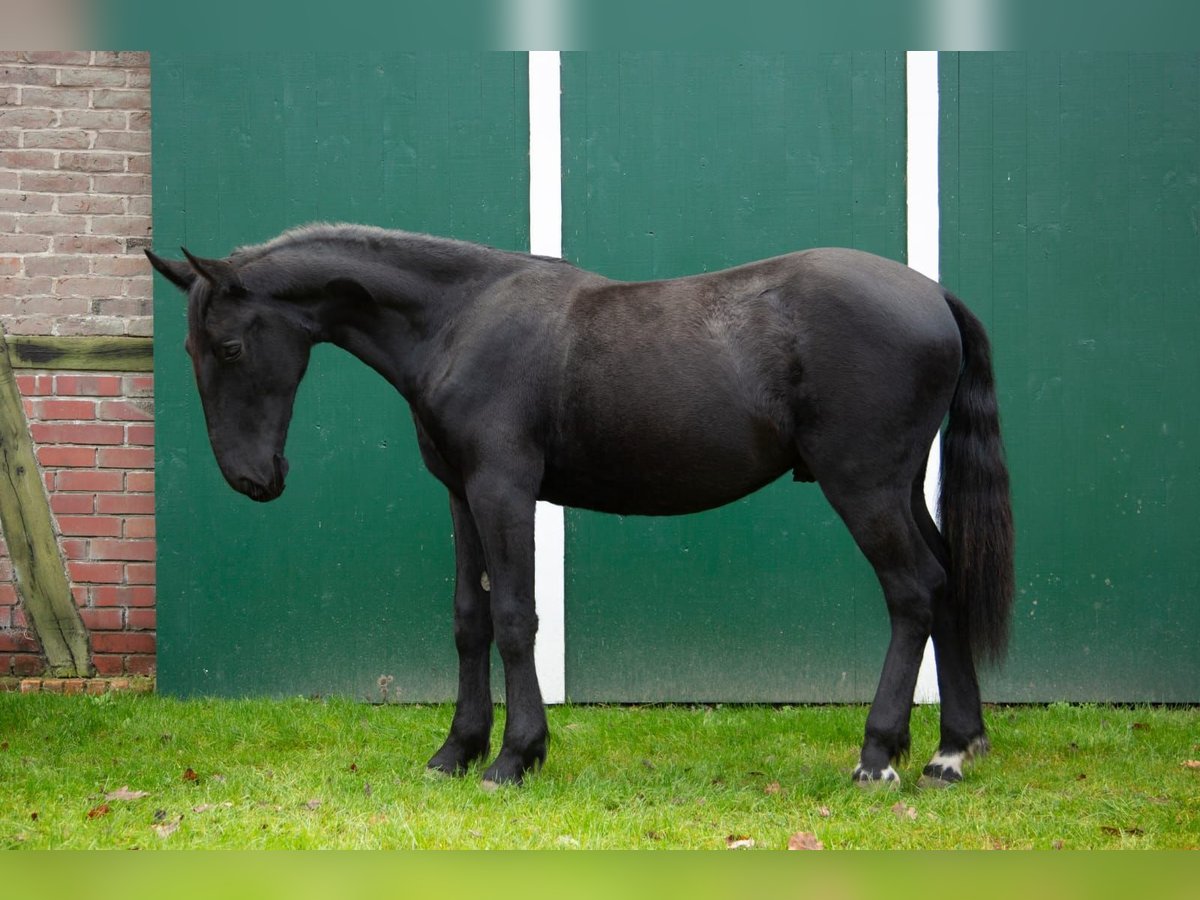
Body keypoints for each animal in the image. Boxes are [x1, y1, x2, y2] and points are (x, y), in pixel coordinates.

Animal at [147, 224, 1012, 787]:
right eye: (191, 349)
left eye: (229, 347)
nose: (251, 479)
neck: (460, 320)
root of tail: (932, 293)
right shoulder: (460, 492)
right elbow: (468, 619)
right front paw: (456, 752)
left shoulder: (503, 488)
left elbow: (513, 618)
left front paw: (514, 756)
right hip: (898, 487)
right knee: (946, 584)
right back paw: (953, 750)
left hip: (862, 486)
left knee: (913, 592)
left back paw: (880, 754)